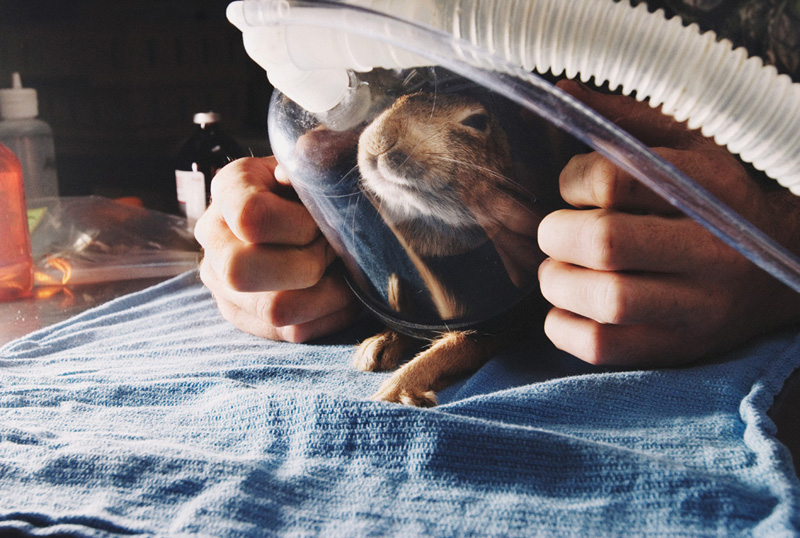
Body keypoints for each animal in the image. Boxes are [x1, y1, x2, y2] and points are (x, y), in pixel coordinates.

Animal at [352, 91, 553, 406]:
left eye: (477, 120)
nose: (379, 142)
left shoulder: (495, 325)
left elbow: (452, 346)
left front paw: (394, 393)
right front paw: (375, 348)